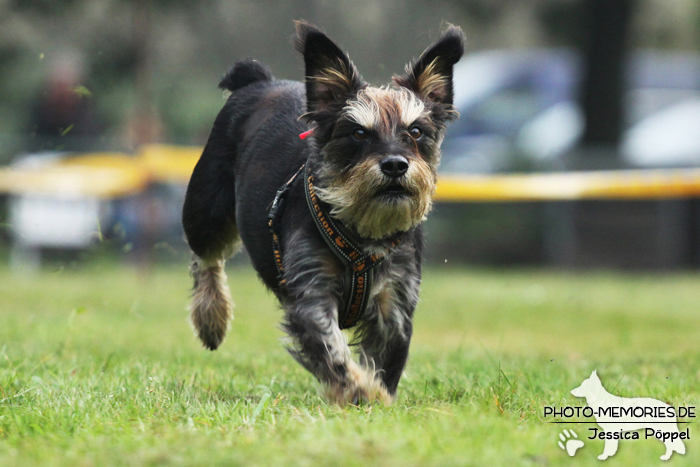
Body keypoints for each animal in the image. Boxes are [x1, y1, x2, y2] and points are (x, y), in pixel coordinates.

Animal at [183, 20, 462, 404]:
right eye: (358, 133)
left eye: (416, 131)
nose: (395, 165)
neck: (361, 232)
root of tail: (259, 81)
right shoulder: (311, 290)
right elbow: (332, 350)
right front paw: (359, 389)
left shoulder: (395, 299)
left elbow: (385, 357)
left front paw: (378, 393)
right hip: (205, 210)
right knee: (205, 258)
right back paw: (212, 317)